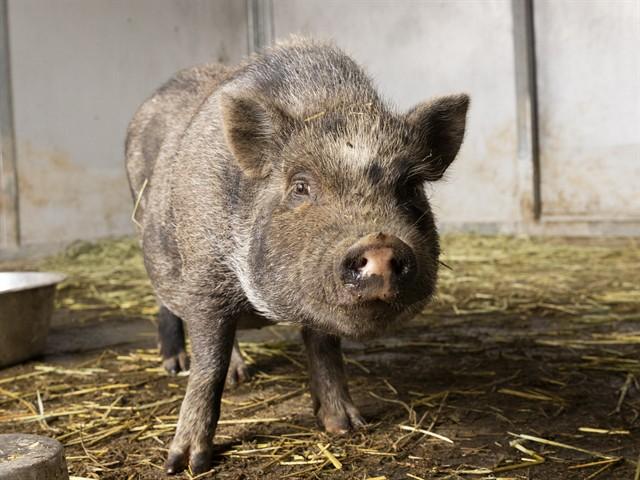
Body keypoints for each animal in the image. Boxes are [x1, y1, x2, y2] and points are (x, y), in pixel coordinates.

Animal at [125, 38, 469, 474]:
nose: (379, 244)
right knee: (168, 306)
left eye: (410, 187)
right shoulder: (205, 279)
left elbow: (324, 348)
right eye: (301, 185)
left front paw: (347, 426)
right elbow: (208, 365)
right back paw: (177, 367)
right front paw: (185, 464)